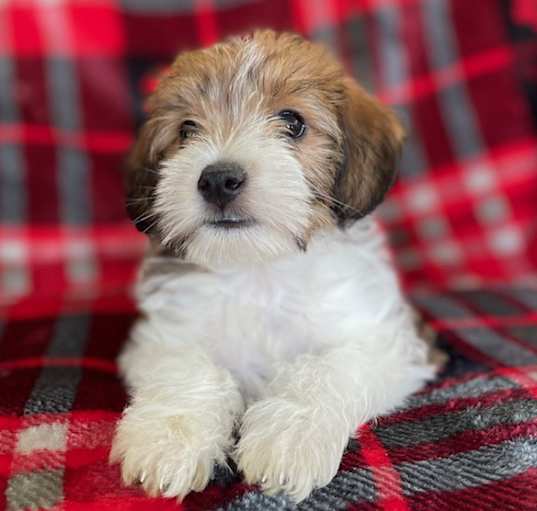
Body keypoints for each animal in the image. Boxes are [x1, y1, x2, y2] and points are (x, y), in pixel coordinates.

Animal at [110, 30, 440, 502]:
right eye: (187, 130)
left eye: (293, 122)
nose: (217, 179)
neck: (259, 267)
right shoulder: (163, 336)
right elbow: (185, 369)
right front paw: (169, 437)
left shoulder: (386, 341)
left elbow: (326, 370)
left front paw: (291, 435)